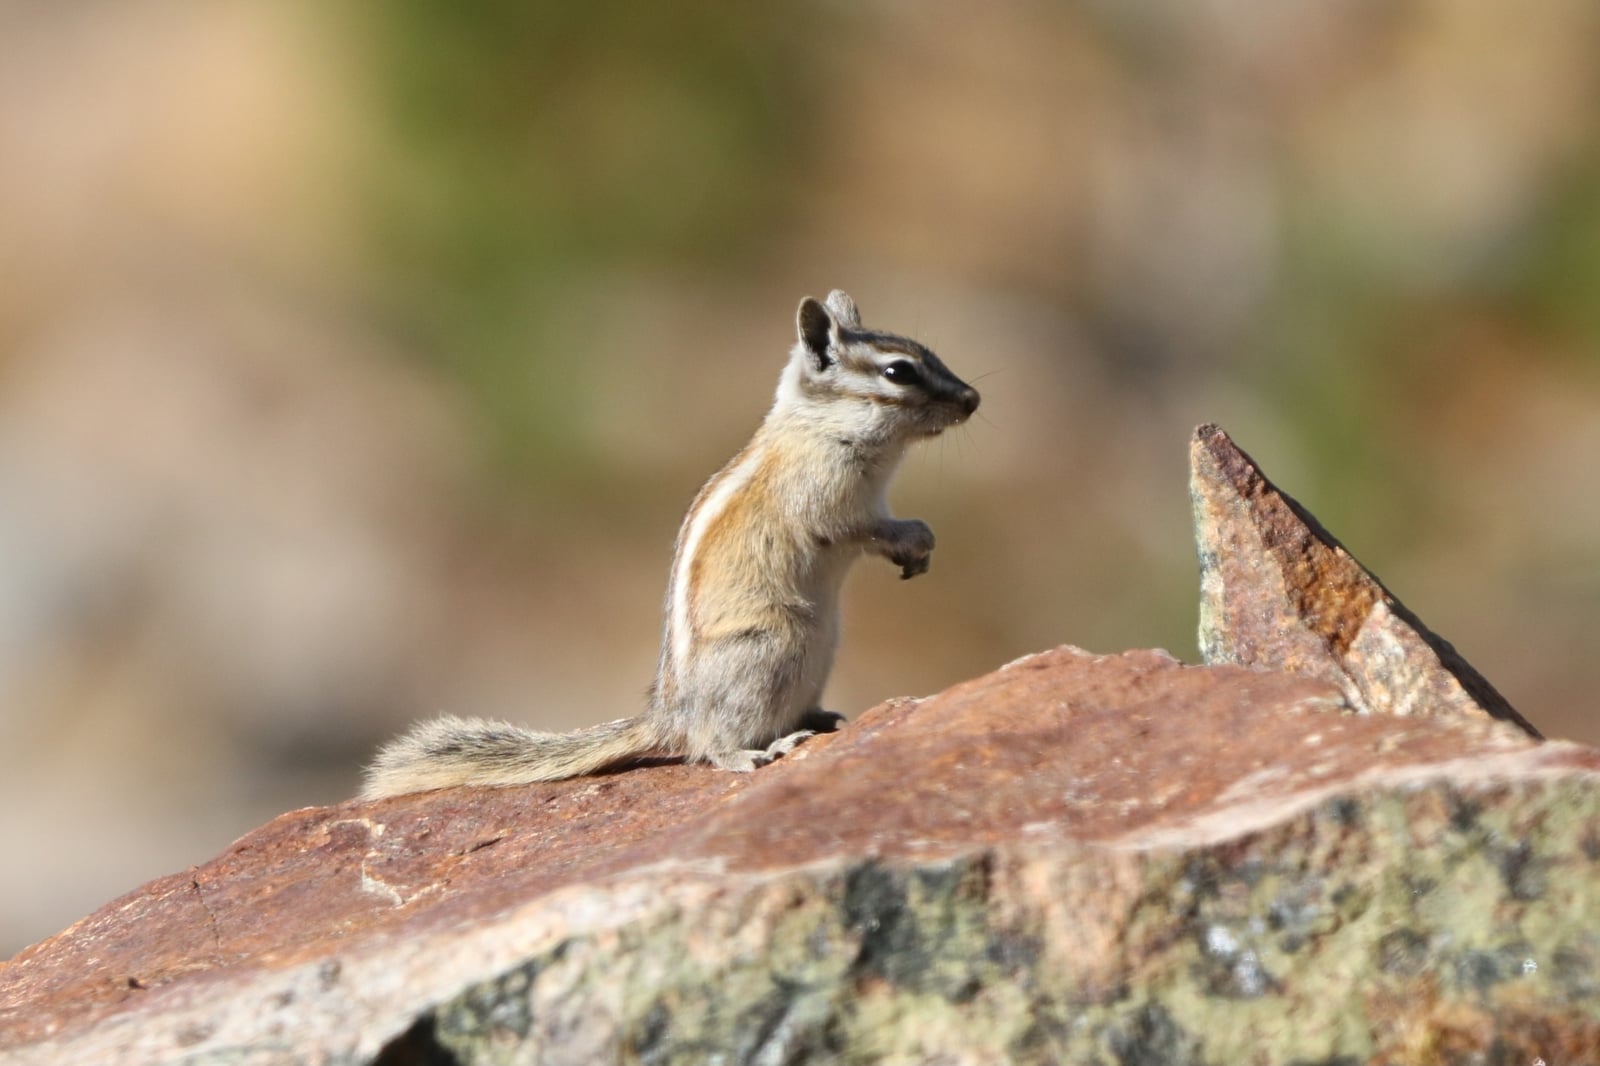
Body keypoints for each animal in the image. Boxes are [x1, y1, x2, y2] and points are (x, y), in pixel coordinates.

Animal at [361, 289, 979, 799]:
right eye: (899, 372)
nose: (973, 398)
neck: (817, 424)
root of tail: (671, 717)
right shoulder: (828, 500)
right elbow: (860, 528)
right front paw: (915, 538)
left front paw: (921, 550)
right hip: (777, 646)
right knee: (708, 747)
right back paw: (760, 750)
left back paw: (820, 718)